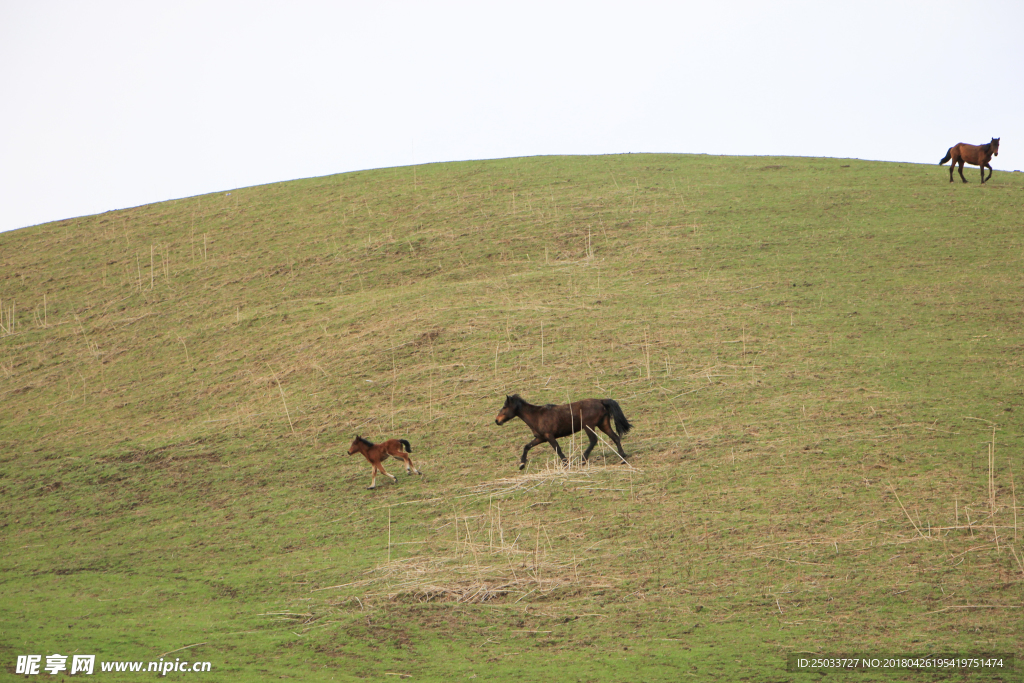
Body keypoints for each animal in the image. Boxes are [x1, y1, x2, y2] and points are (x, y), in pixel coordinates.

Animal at [495, 395, 630, 471]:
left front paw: (566, 463)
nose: (497, 420)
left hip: (588, 426)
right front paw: (522, 464)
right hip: (603, 425)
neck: (536, 416)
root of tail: (601, 401)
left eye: (505, 407)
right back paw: (623, 457)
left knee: (593, 440)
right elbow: (527, 447)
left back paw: (583, 459)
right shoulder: (540, 438)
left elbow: (558, 449)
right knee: (615, 437)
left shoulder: (549, 436)